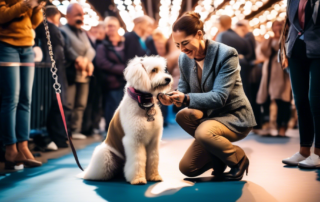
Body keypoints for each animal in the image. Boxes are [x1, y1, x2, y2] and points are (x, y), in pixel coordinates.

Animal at [78, 55, 172, 185]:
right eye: (154, 70)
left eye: (163, 70)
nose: (168, 79)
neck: (143, 103)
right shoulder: (134, 140)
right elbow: (138, 160)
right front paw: (138, 178)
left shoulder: (154, 141)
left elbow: (153, 159)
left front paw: (154, 176)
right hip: (104, 154)